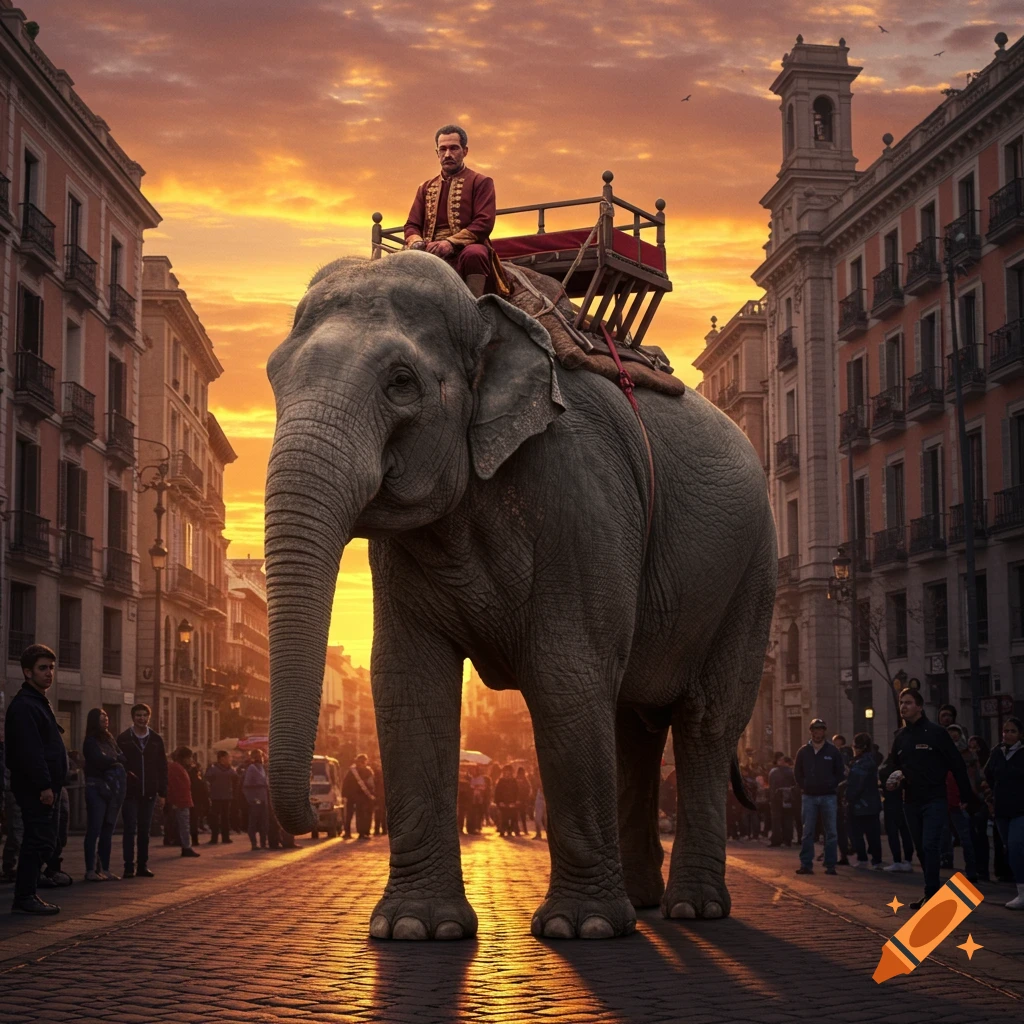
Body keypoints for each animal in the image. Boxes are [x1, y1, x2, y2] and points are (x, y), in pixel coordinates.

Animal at [264, 250, 777, 941]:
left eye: (401, 382)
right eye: (273, 376)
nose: (321, 812)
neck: (487, 311)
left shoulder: (582, 491)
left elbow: (565, 674)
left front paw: (581, 928)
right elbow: (406, 681)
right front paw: (415, 928)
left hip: (750, 575)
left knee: (703, 720)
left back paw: (690, 909)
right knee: (632, 723)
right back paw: (643, 903)